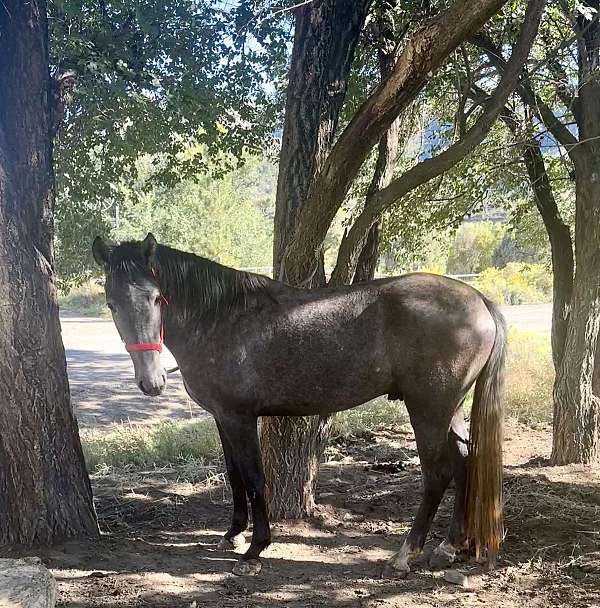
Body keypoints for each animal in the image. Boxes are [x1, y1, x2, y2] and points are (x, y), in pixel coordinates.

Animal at [92, 235, 506, 576]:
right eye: (111, 304)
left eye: (155, 298)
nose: (151, 382)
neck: (220, 316)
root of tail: (479, 300)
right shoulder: (222, 418)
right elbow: (234, 475)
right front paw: (233, 533)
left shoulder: (240, 417)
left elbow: (254, 477)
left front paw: (256, 549)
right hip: (450, 409)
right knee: (465, 464)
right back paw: (450, 546)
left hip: (428, 410)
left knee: (438, 474)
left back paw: (406, 554)